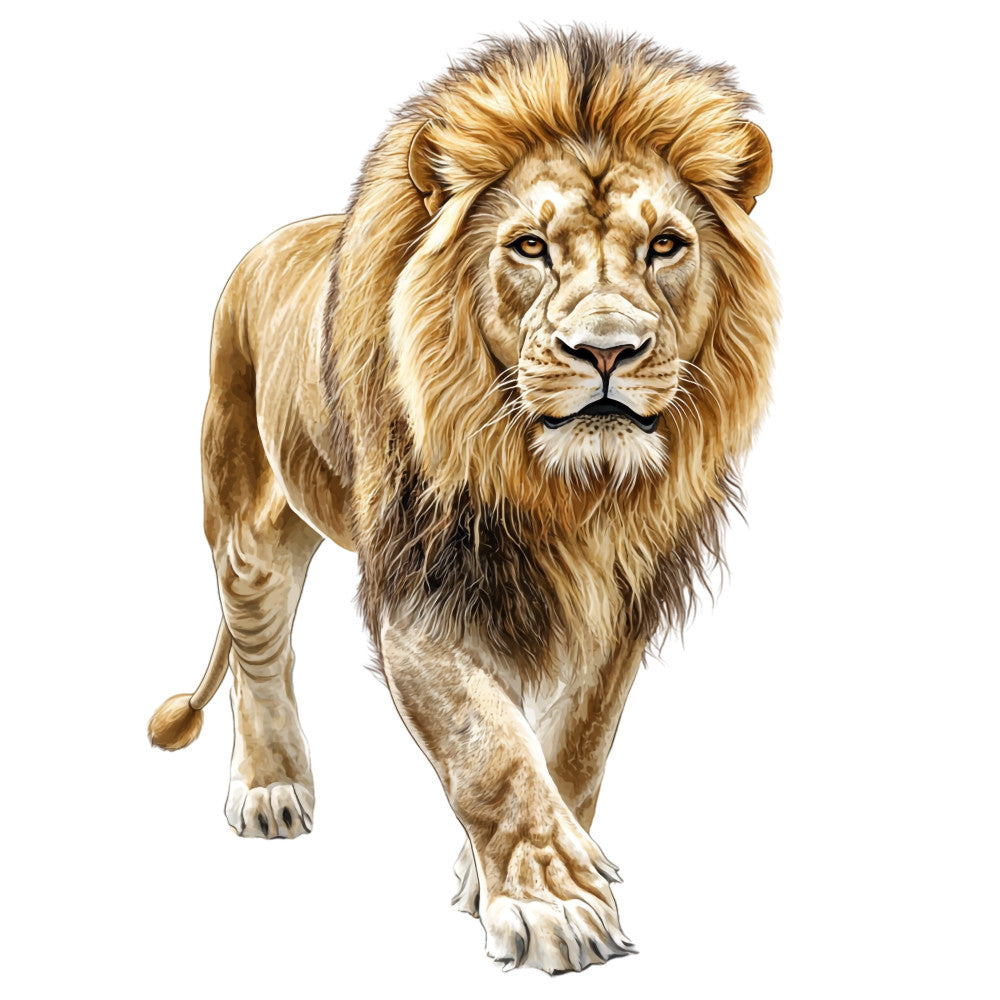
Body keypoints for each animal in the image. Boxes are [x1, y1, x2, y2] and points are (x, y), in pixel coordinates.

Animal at [148, 27, 778, 974]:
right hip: (246, 513)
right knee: (261, 649)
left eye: (666, 246)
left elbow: (576, 747)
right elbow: (489, 751)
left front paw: (499, 875)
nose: (607, 351)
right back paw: (271, 787)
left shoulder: (621, 600)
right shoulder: (425, 591)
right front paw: (554, 905)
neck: (566, 490)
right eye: (530, 246)